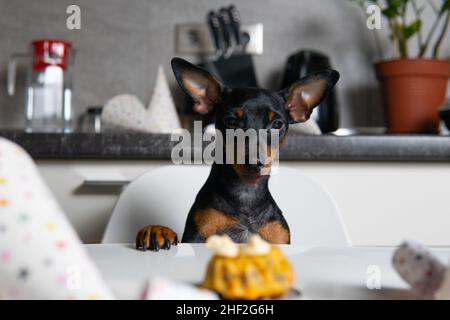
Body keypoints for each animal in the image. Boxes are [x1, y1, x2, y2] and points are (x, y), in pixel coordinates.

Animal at [135, 57, 340, 251]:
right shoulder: (197, 237)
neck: (246, 193)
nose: (255, 162)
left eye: (277, 124)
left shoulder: (279, 239)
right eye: (231, 121)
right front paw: (158, 231)